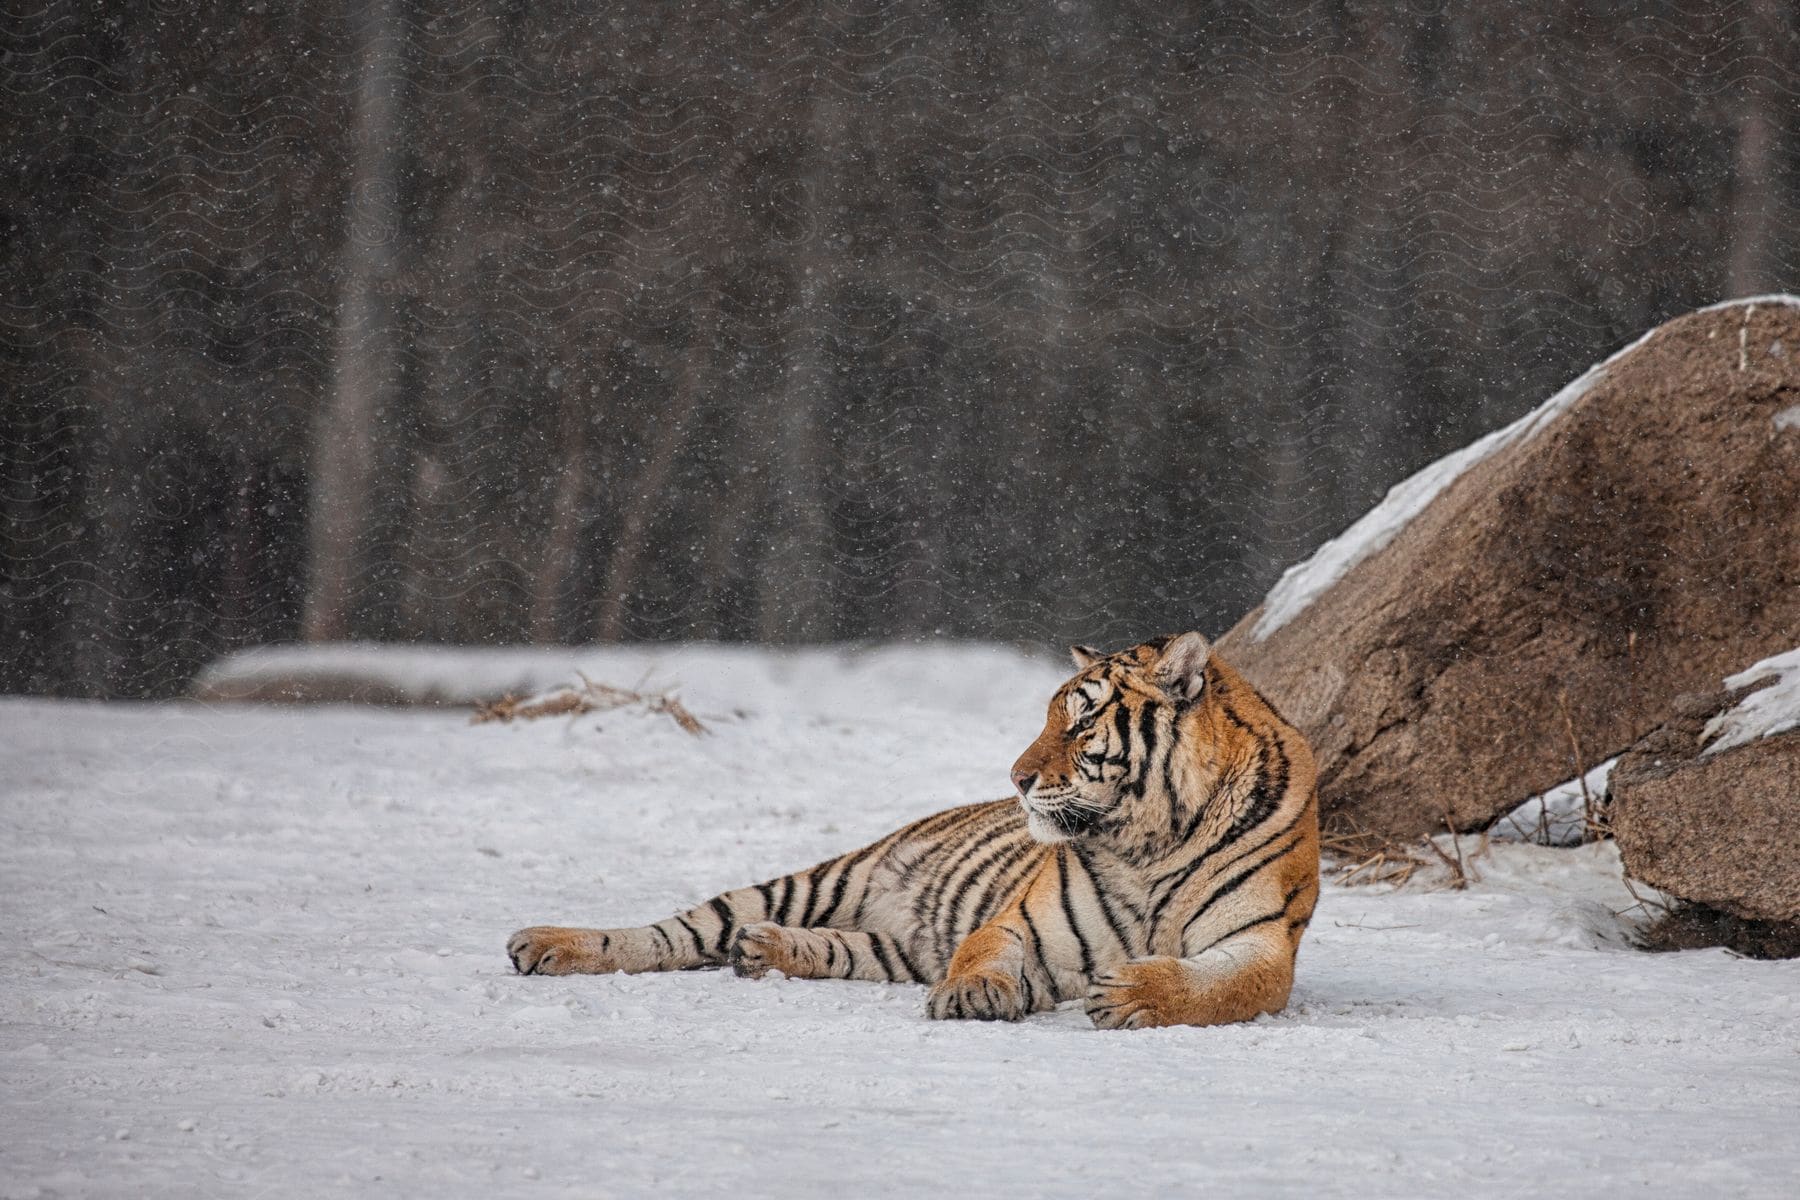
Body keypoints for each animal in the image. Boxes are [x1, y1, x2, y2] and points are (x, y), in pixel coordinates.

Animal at [507, 629, 1324, 1036]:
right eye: (1051, 713)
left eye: (1082, 719)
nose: (1015, 777)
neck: (1151, 837)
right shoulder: (1019, 921)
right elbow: (984, 951)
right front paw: (973, 992)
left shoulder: (1265, 944)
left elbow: (1223, 986)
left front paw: (1133, 992)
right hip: (822, 877)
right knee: (670, 931)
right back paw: (544, 943)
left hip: (890, 944)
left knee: (834, 948)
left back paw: (764, 949)